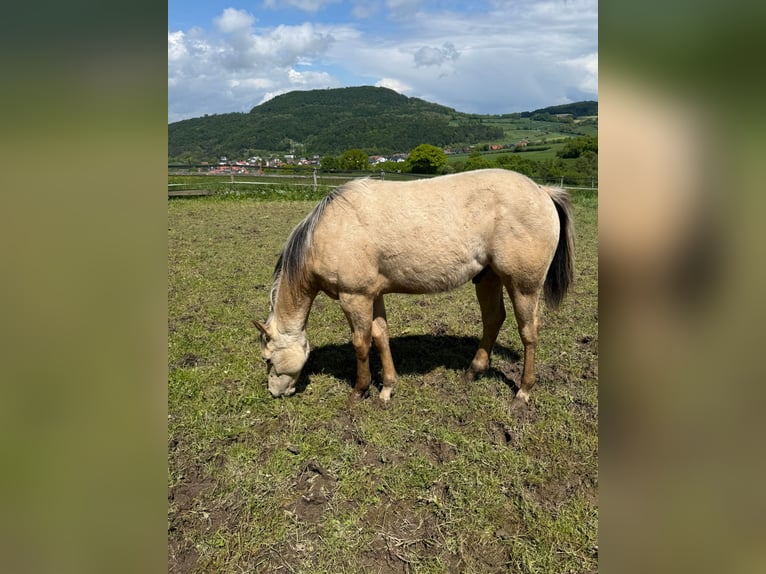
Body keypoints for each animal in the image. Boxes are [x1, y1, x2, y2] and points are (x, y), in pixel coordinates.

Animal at [254, 168, 575, 411]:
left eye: (267, 359)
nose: (274, 392)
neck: (329, 230)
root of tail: (542, 191)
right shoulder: (373, 295)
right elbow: (380, 336)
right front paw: (387, 388)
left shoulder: (354, 297)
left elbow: (361, 343)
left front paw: (360, 390)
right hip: (489, 278)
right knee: (493, 320)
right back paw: (473, 371)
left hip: (523, 287)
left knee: (528, 332)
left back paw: (523, 391)